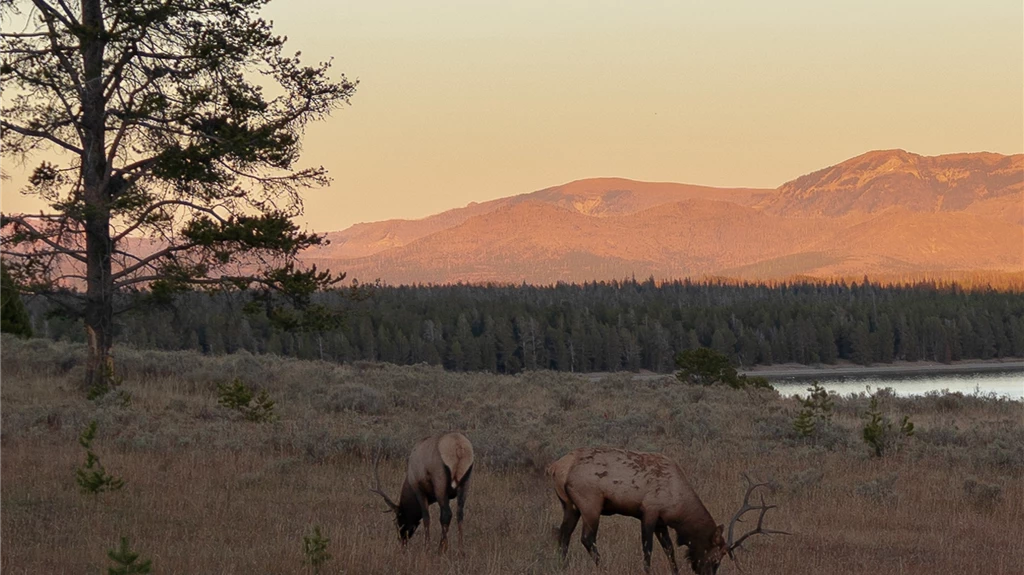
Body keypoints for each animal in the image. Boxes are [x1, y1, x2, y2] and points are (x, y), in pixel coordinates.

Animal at [548, 448, 786, 572]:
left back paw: (562, 566)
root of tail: (557, 467)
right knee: (587, 538)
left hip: (569, 505)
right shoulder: (649, 512)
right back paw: (604, 568)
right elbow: (648, 549)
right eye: (715, 560)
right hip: (590, 503)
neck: (678, 507)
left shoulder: (662, 522)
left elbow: (669, 549)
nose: (707, 574)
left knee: (563, 534)